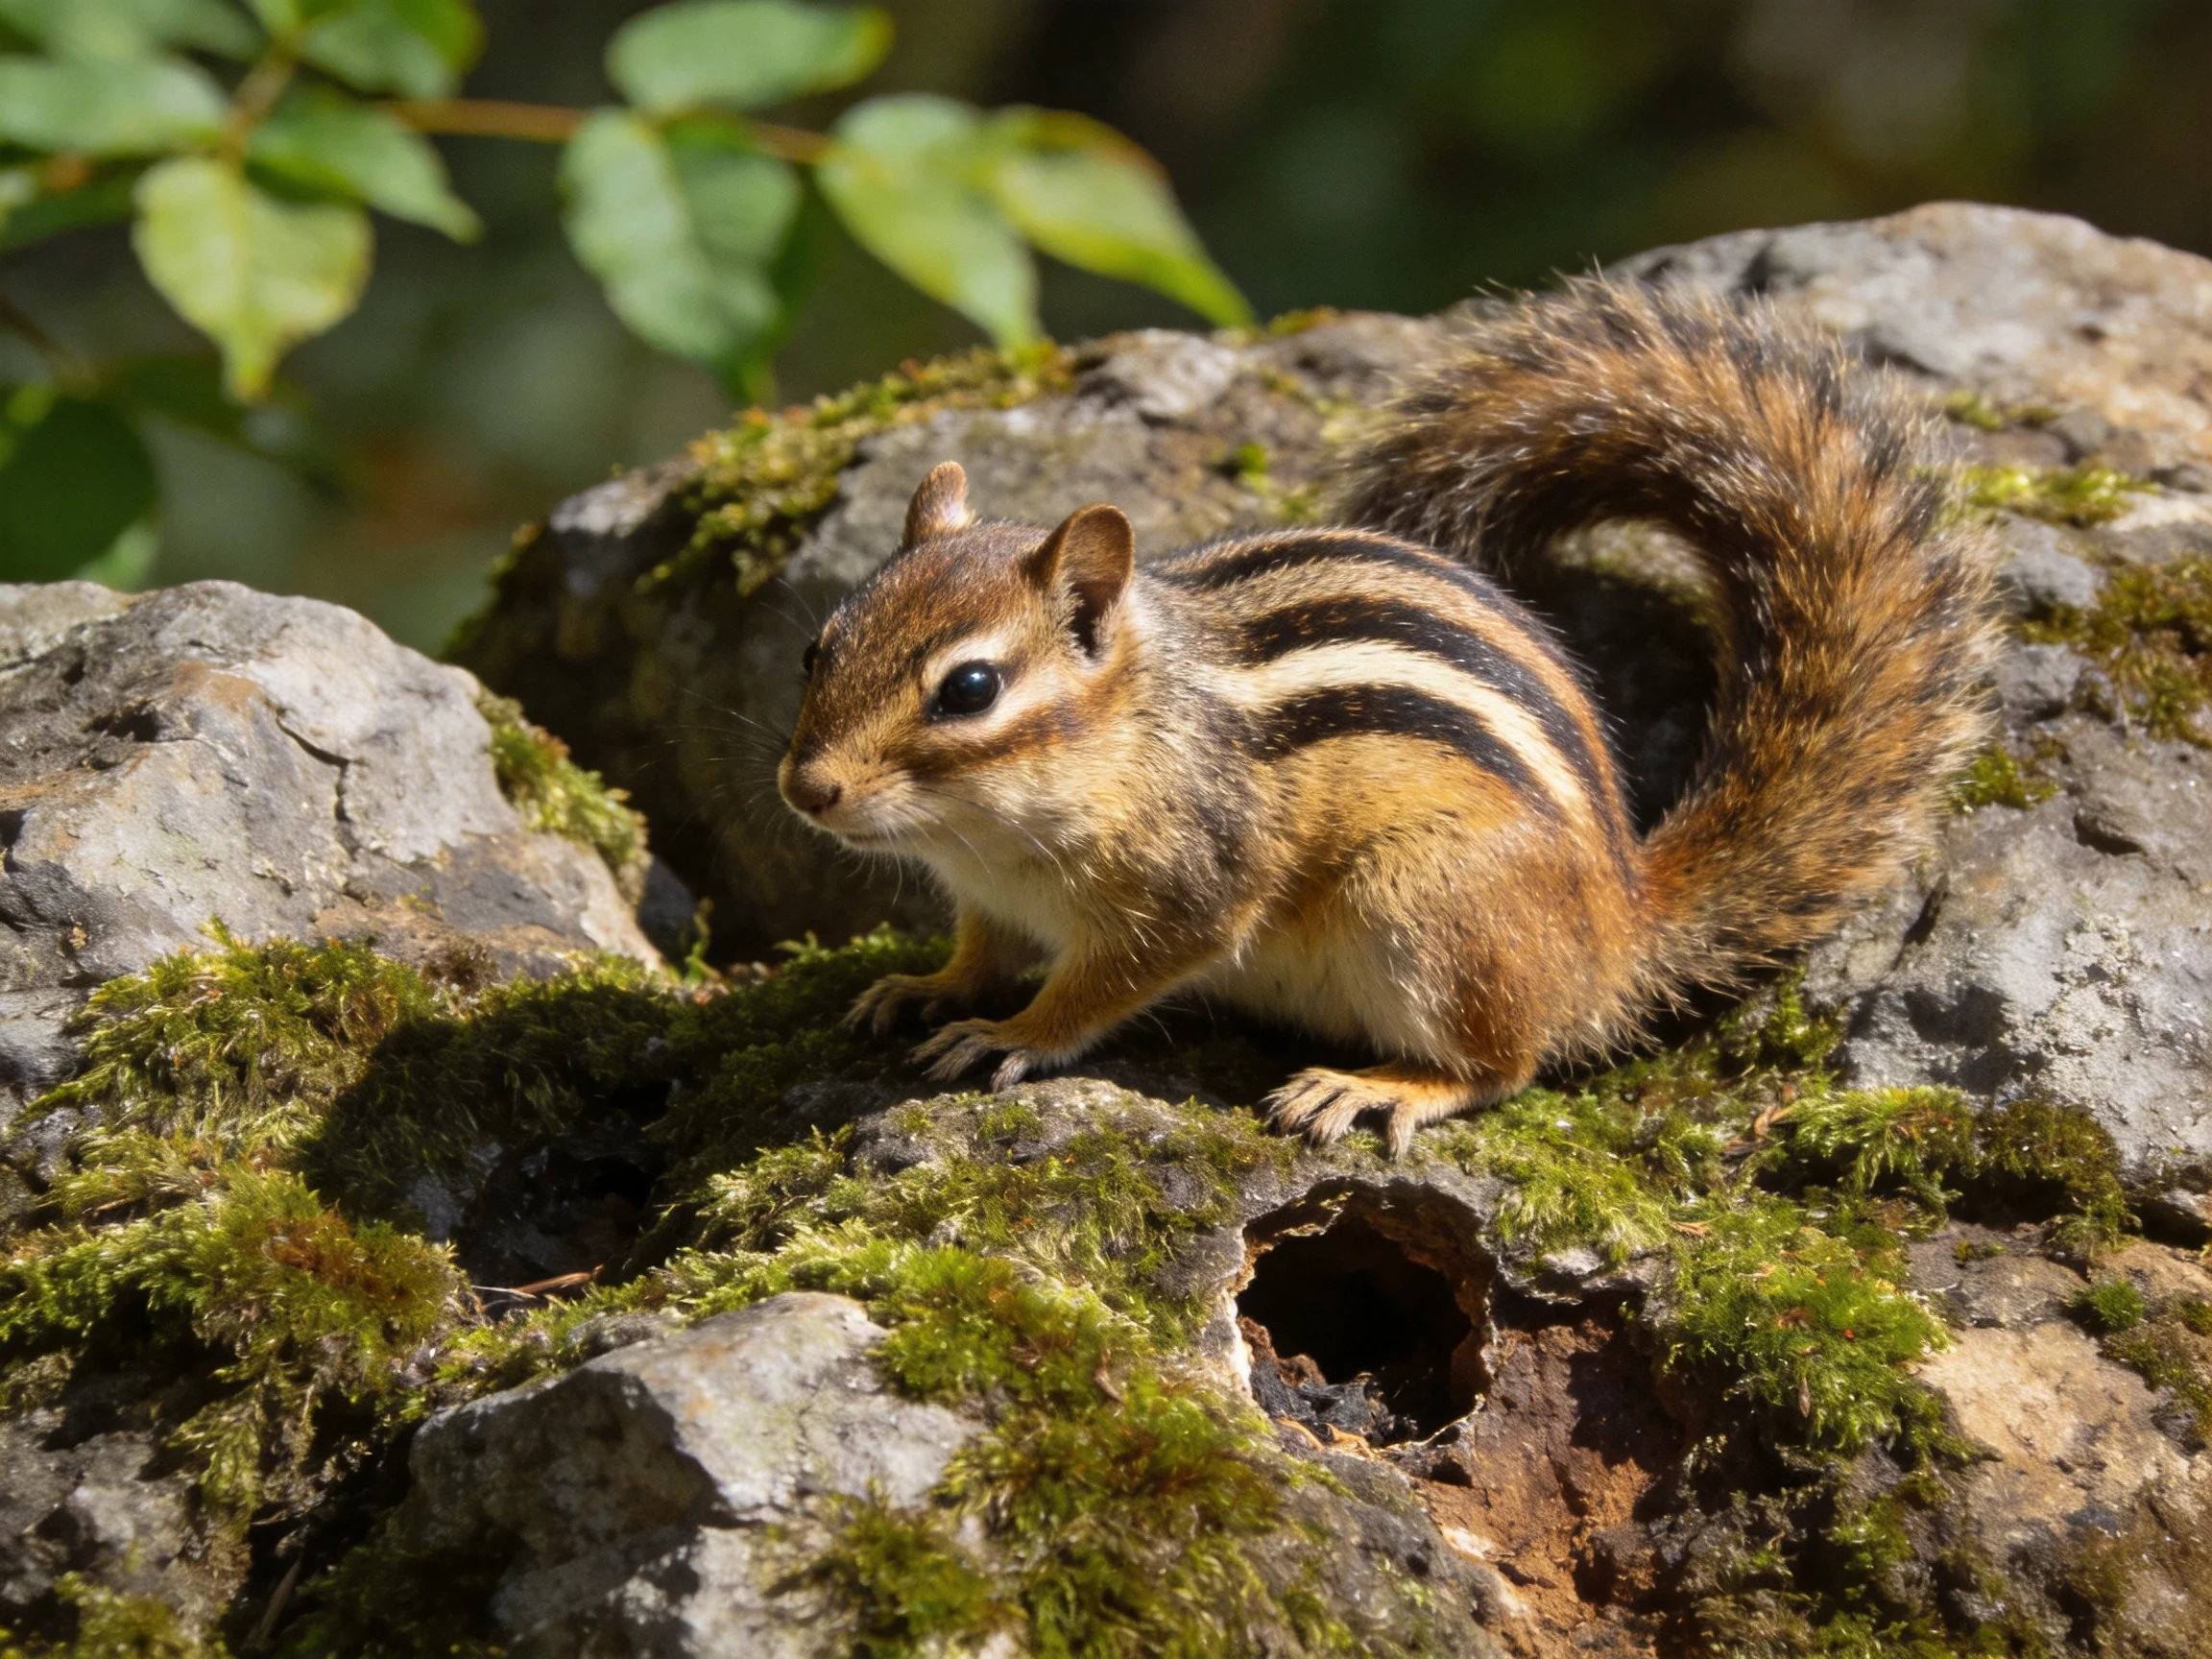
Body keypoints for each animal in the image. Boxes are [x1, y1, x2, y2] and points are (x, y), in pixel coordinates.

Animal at [777, 279, 1997, 1155]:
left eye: (970, 690)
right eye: (816, 646)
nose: (806, 789)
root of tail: (1621, 928)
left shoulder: (1192, 887)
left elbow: (1106, 984)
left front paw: (1011, 1034)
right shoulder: (987, 897)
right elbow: (979, 950)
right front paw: (925, 988)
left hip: (1430, 907)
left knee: (1505, 1066)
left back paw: (1376, 1088)